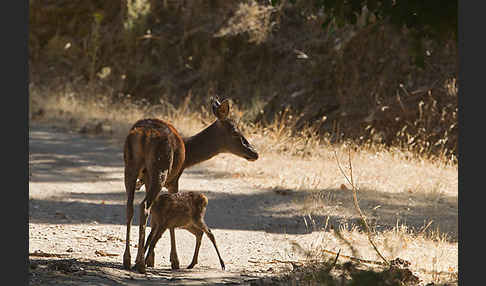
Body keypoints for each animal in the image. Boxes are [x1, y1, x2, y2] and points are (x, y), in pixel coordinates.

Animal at [122, 98, 258, 272]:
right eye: (235, 131)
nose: (254, 152)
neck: (187, 157)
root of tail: (143, 135)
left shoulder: (146, 179)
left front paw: (151, 259)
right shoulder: (174, 179)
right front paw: (174, 261)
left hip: (130, 167)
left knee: (130, 207)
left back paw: (127, 259)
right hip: (161, 168)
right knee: (144, 206)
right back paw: (139, 263)